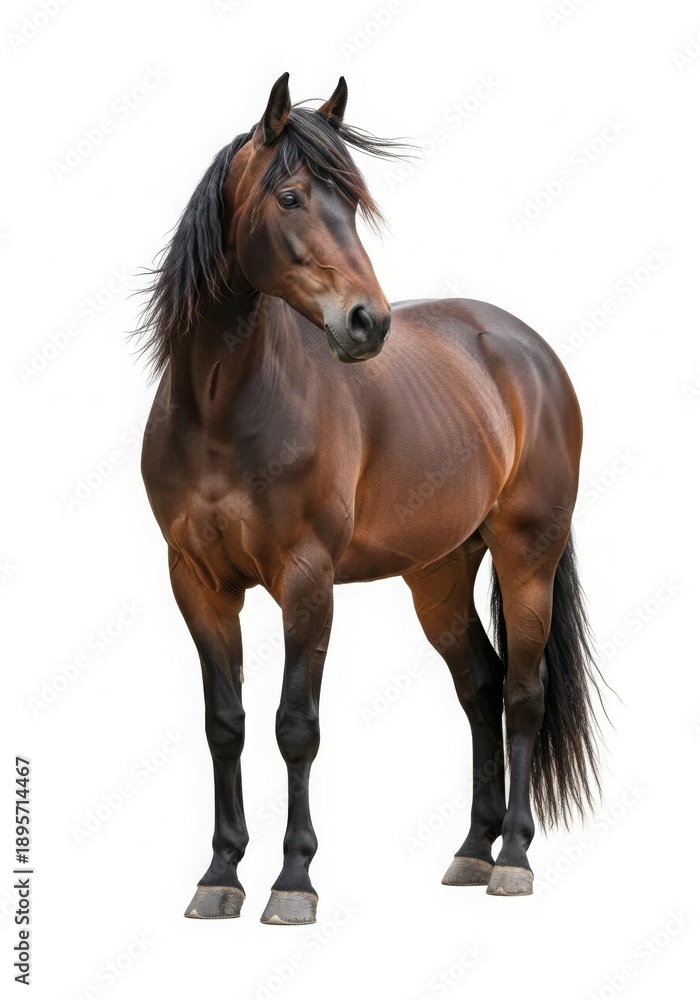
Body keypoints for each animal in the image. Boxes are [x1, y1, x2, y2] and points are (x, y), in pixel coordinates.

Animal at [138, 72, 602, 925]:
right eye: (291, 196)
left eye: (351, 205)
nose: (367, 322)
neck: (223, 410)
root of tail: (526, 352)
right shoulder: (197, 582)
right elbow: (225, 724)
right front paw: (219, 874)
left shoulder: (306, 581)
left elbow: (296, 726)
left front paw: (293, 881)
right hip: (439, 576)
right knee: (480, 687)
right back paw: (470, 849)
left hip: (527, 558)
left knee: (523, 694)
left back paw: (513, 858)